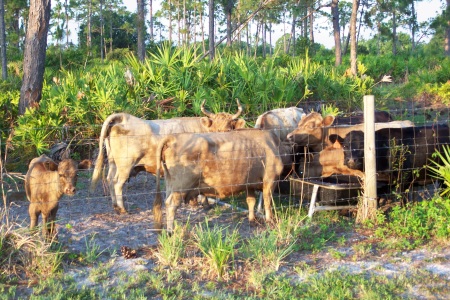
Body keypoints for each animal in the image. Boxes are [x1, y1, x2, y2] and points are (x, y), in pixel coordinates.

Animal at [91, 99, 246, 214]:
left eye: (229, 129)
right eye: (215, 129)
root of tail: (124, 117)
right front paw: (200, 204)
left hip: (113, 162)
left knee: (110, 179)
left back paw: (115, 207)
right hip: (125, 164)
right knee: (118, 183)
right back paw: (122, 209)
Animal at [153, 129, 284, 232]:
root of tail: (174, 137)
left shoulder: (249, 182)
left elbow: (251, 201)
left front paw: (252, 220)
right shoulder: (270, 178)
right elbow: (268, 201)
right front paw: (270, 221)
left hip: (170, 182)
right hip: (181, 184)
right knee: (171, 204)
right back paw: (170, 231)